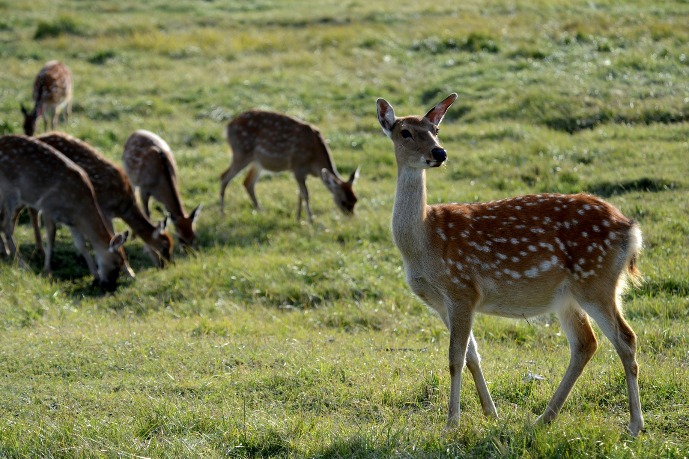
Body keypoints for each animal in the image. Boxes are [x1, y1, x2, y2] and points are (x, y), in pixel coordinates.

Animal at [0, 134, 134, 292]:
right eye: (116, 264)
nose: (108, 286)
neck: (79, 206)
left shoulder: (72, 222)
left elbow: (82, 245)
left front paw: (95, 275)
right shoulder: (48, 207)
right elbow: (51, 240)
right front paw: (47, 272)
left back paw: (7, 255)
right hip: (10, 191)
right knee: (6, 225)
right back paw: (22, 264)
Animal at [37, 132, 173, 270]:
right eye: (165, 246)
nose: (165, 265)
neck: (123, 208)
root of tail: (38, 137)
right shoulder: (105, 210)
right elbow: (113, 238)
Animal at [219, 108, 360, 222]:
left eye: (355, 199)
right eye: (343, 202)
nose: (351, 217)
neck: (314, 161)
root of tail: (228, 127)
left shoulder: (302, 172)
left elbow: (300, 194)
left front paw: (298, 218)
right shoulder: (297, 167)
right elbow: (305, 194)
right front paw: (311, 219)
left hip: (257, 162)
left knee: (247, 182)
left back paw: (260, 211)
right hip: (241, 152)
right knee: (224, 176)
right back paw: (222, 213)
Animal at [376, 94, 644, 438]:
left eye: (435, 129)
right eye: (405, 132)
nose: (439, 152)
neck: (424, 242)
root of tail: (630, 230)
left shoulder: (461, 288)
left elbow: (455, 358)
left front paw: (452, 423)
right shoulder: (441, 302)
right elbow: (472, 355)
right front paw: (491, 413)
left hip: (596, 280)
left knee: (625, 338)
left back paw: (635, 424)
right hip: (568, 295)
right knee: (586, 343)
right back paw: (544, 418)